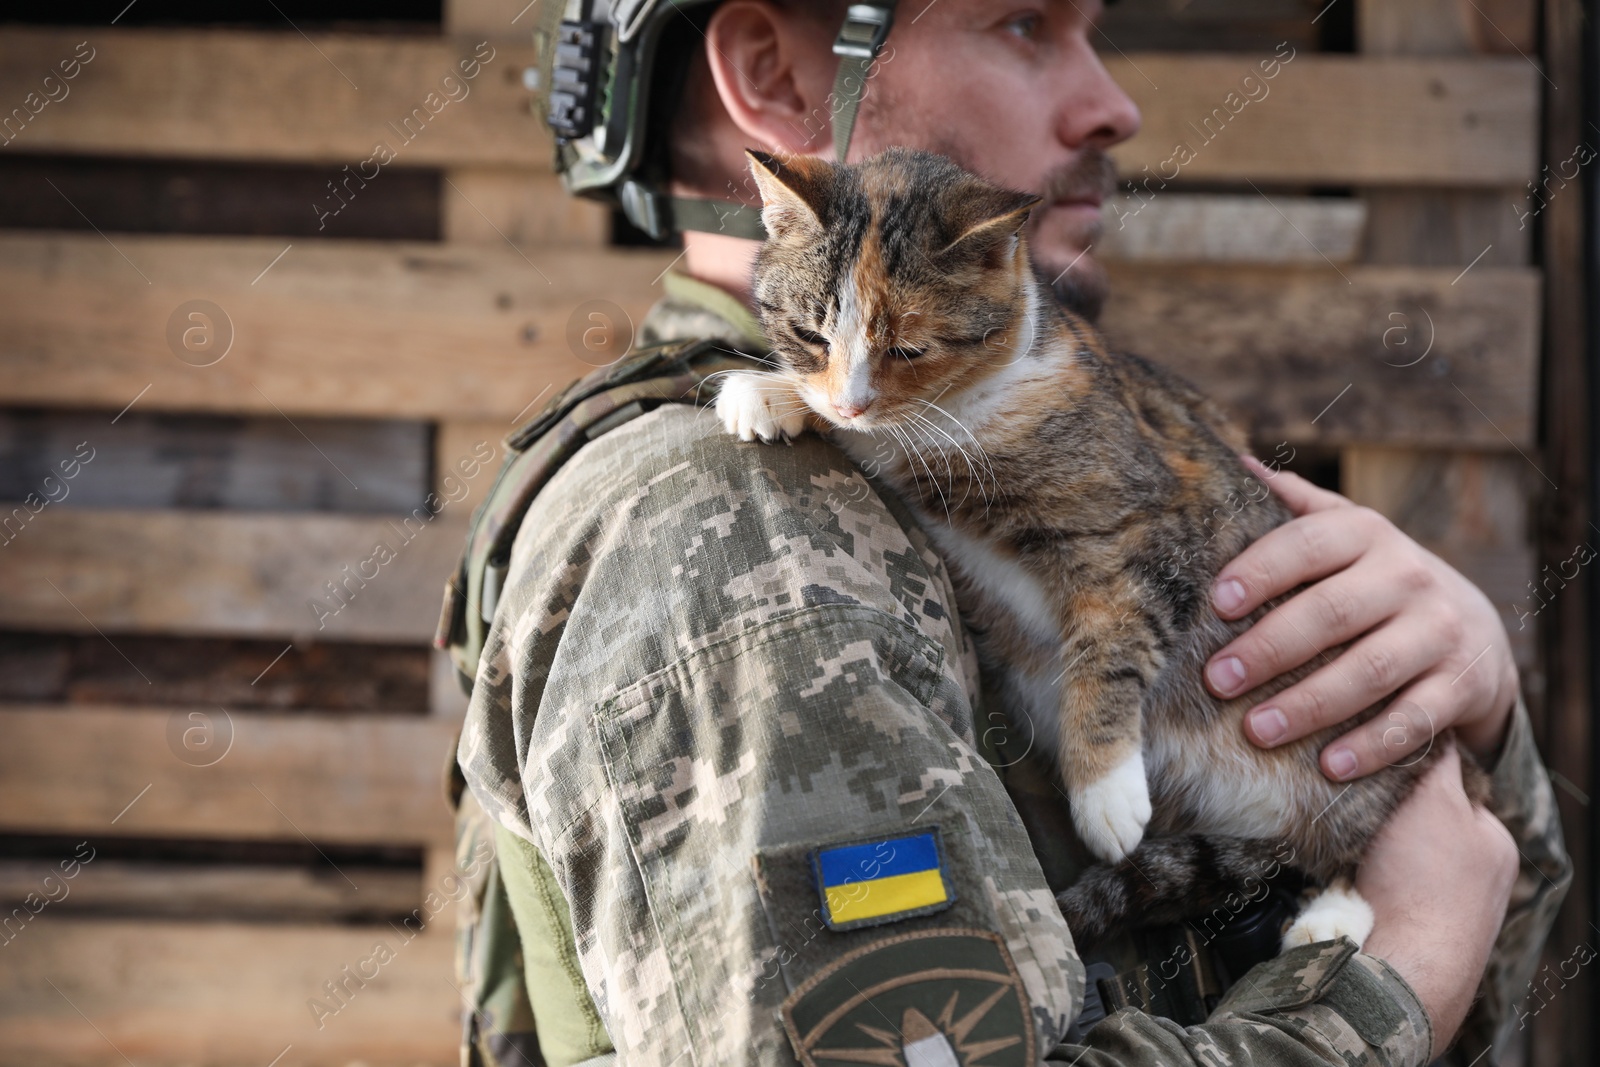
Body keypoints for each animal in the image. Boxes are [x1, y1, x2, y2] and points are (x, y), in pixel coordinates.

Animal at [713, 146, 1484, 953]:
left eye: (908, 348)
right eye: (812, 335)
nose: (849, 398)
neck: (975, 405)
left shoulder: (1154, 533)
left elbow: (1111, 649)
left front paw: (1103, 792)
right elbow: (873, 438)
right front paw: (770, 394)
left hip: (1369, 758)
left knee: (1350, 841)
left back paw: (1334, 914)